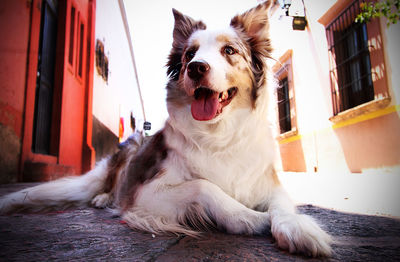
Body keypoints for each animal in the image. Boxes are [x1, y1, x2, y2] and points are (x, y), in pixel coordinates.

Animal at [0, 1, 332, 256]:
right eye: (189, 54)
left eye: (229, 51)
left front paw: (298, 228)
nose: (196, 67)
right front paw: (249, 218)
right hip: (131, 154)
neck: (218, 134)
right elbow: (204, 185)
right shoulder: (144, 194)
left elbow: (283, 205)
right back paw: (104, 198)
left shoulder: (267, 182)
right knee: (113, 185)